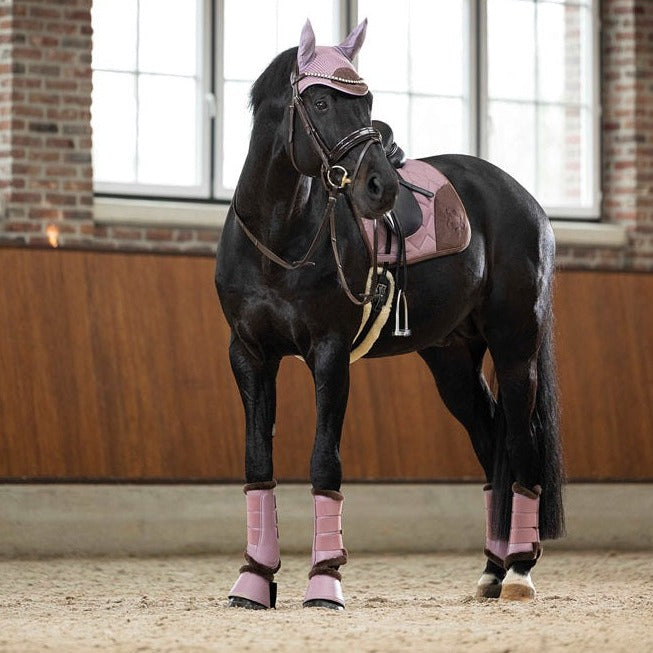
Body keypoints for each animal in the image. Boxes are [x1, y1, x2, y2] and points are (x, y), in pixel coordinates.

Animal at [215, 19, 564, 610]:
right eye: (320, 101)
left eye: (367, 102)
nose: (381, 187)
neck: (278, 242)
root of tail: (524, 200)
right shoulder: (250, 355)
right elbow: (256, 463)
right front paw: (254, 581)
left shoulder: (330, 354)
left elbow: (324, 461)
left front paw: (325, 580)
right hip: (452, 361)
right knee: (490, 439)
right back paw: (491, 571)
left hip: (516, 350)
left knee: (521, 445)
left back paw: (518, 570)